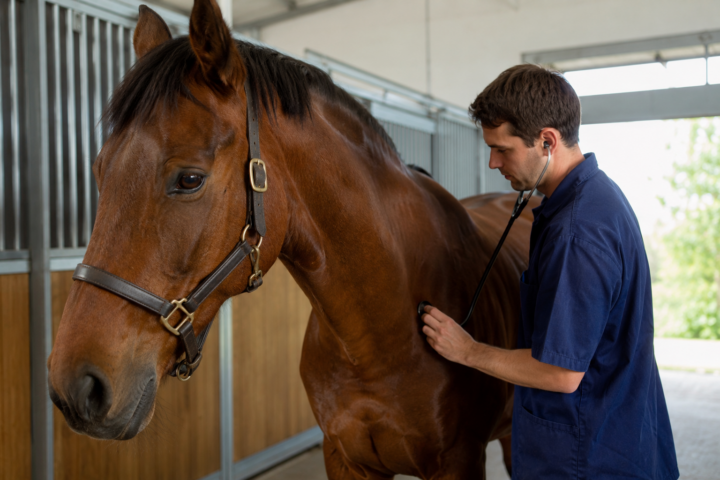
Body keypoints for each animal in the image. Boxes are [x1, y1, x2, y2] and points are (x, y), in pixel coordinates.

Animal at [47, 1, 536, 478]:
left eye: (189, 179)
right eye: (99, 171)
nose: (77, 387)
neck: (383, 330)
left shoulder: (459, 460)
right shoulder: (343, 458)